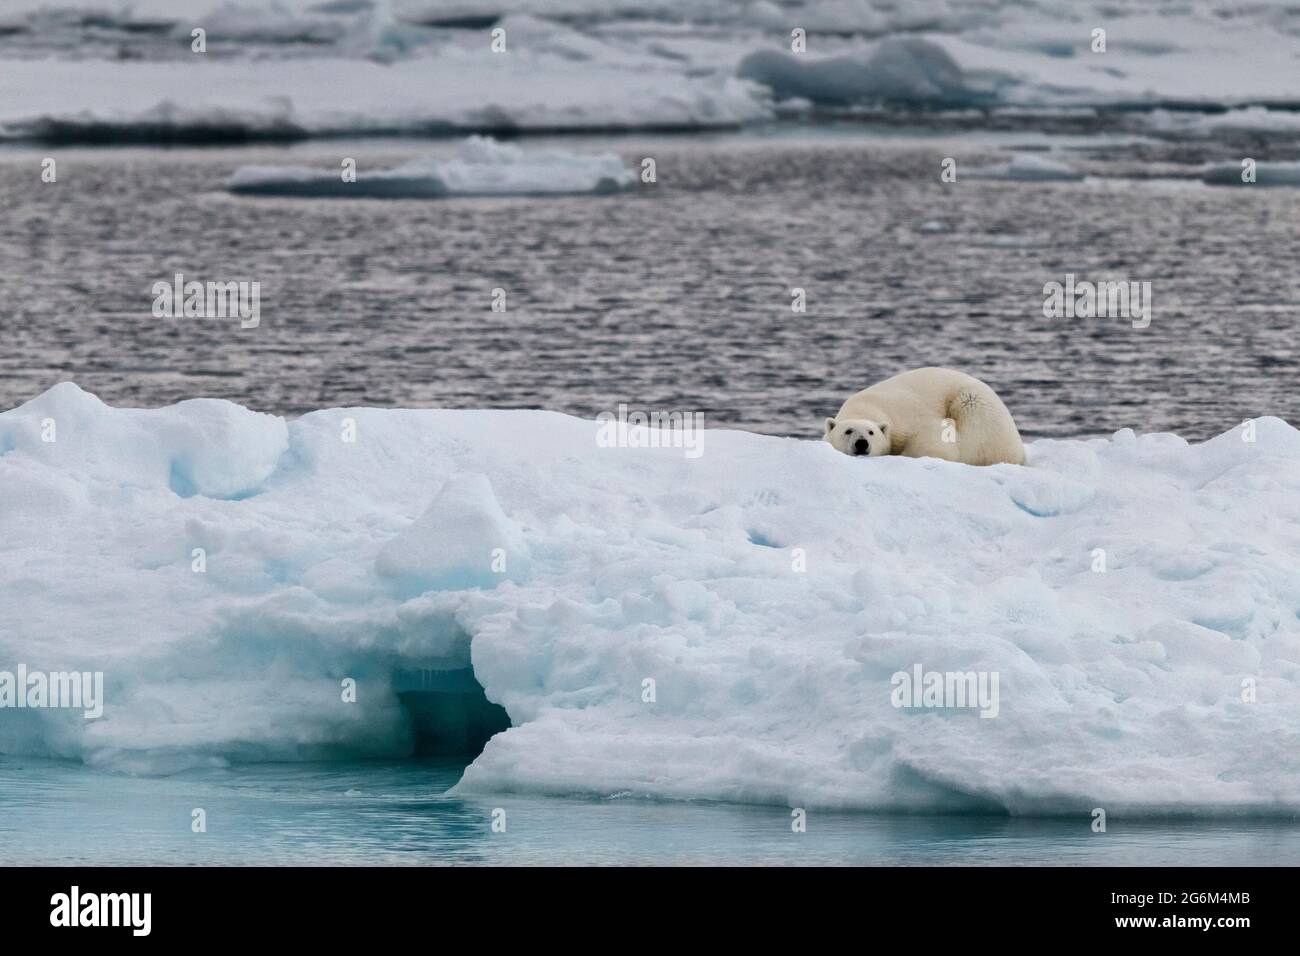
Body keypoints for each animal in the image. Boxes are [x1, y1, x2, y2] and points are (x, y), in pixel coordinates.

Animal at [824, 367, 1025, 466]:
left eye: (871, 432)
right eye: (848, 431)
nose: (861, 443)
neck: (866, 407)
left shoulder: (906, 416)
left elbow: (936, 442)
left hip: (975, 408)